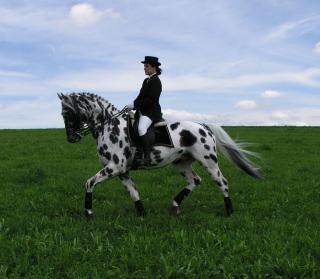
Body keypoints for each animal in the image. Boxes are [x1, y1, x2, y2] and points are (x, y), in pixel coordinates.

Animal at [58, 93, 262, 218]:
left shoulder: (114, 167)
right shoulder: (121, 170)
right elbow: (133, 192)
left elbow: (89, 183)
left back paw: (229, 212)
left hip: (208, 161)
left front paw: (88, 213)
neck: (109, 125)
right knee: (194, 181)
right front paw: (142, 214)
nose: (71, 138)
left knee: (222, 182)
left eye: (67, 112)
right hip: (181, 163)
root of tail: (204, 126)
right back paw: (175, 206)